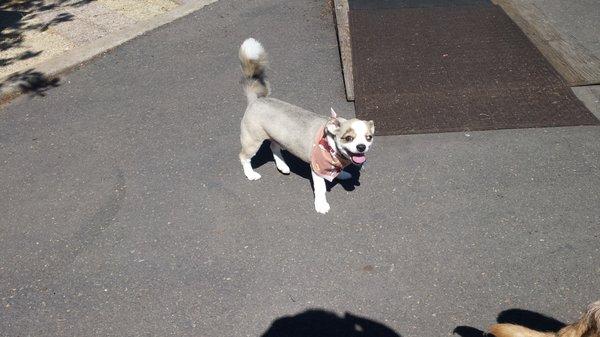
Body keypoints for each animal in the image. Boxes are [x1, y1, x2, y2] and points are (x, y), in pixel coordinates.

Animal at [237, 38, 372, 214]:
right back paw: (251, 174)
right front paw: (321, 205)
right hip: (252, 141)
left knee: (273, 146)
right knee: (244, 157)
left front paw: (341, 174)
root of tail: (256, 100)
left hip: (278, 137)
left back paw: (282, 166)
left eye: (369, 138)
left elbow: (336, 171)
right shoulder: (317, 169)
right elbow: (321, 189)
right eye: (348, 138)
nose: (362, 147)